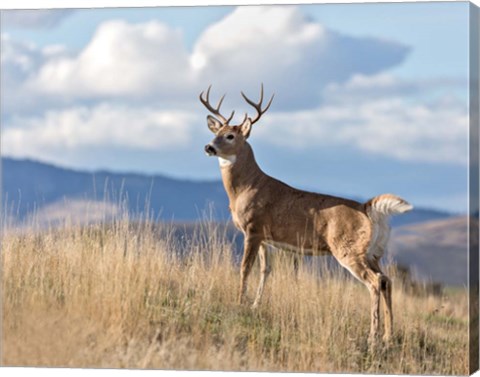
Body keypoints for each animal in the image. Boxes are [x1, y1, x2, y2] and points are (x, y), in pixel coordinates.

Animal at [199, 84, 412, 344]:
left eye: (230, 135)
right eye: (216, 131)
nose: (209, 147)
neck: (246, 187)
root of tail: (367, 208)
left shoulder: (252, 227)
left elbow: (244, 268)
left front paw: (239, 302)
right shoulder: (265, 236)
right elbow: (265, 270)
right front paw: (255, 305)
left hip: (349, 249)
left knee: (374, 282)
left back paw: (373, 336)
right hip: (374, 253)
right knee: (386, 280)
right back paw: (389, 336)